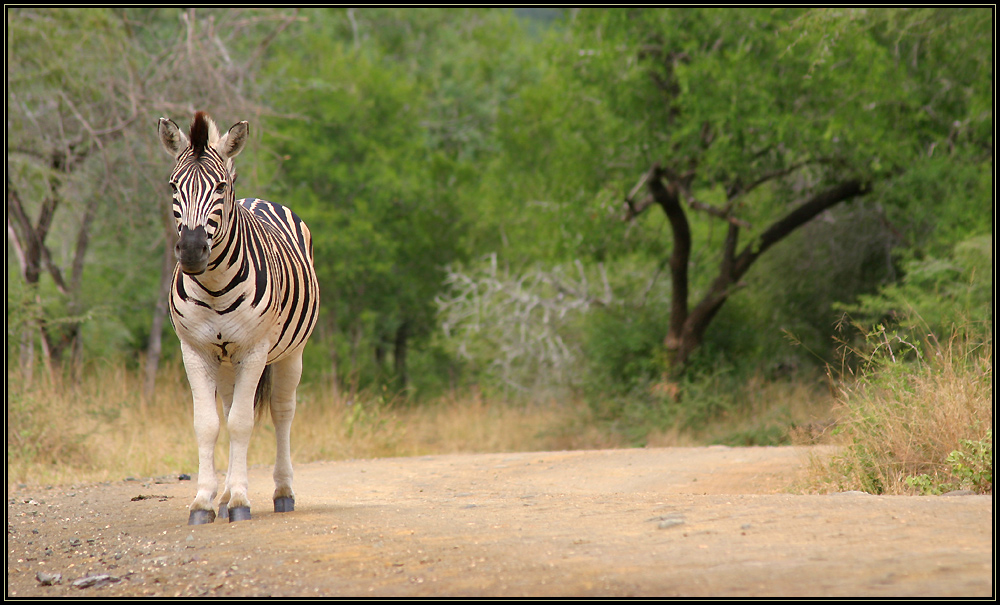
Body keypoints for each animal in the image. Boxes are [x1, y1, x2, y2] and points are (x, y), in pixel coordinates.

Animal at [157, 112, 320, 524]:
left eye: (219, 186)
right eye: (173, 185)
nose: (192, 251)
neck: (214, 285)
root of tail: (258, 199)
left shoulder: (254, 350)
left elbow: (243, 423)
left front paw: (242, 502)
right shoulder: (195, 351)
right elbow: (208, 424)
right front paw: (204, 501)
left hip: (290, 353)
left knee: (282, 412)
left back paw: (282, 492)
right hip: (227, 362)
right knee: (230, 409)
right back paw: (227, 493)